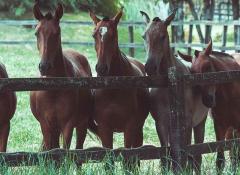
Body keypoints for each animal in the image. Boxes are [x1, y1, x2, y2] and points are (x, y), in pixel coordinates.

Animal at [29, 3, 93, 150]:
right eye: (36, 33)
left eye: (57, 33)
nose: (44, 66)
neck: (54, 89)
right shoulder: (45, 125)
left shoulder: (68, 125)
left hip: (81, 125)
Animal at [89, 9, 149, 151]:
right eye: (94, 35)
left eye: (113, 35)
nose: (101, 68)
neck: (113, 88)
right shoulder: (104, 128)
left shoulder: (130, 127)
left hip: (138, 129)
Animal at [141, 10, 208, 173]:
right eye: (144, 36)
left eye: (163, 36)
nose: (149, 67)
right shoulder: (161, 124)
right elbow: (166, 156)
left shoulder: (187, 124)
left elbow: (186, 156)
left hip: (200, 123)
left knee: (197, 156)